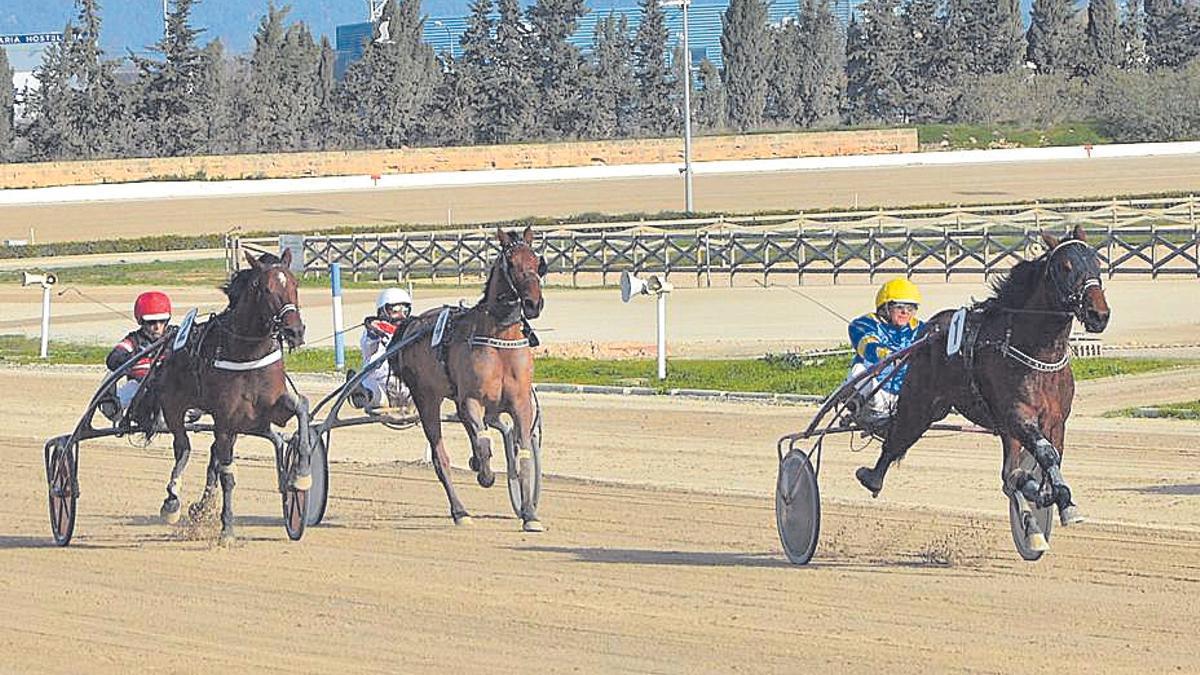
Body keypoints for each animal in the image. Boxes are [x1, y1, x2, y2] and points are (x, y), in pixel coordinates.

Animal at [136, 249, 309, 542]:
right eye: (265, 288)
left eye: (295, 284)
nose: (294, 331)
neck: (248, 352)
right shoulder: (226, 419)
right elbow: (228, 474)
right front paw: (227, 527)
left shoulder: (273, 408)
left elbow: (302, 407)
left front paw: (300, 475)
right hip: (174, 407)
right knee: (183, 447)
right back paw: (173, 502)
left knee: (218, 454)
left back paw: (201, 506)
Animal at [398, 225, 549, 530]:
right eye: (510, 263)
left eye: (536, 261)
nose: (532, 303)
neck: (500, 340)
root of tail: (413, 323)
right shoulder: (471, 399)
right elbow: (483, 443)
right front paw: (485, 474)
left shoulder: (520, 403)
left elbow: (524, 453)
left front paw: (529, 513)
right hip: (427, 398)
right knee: (440, 456)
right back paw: (460, 510)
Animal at [859, 223, 1108, 550]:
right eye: (1065, 267)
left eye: (1097, 263)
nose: (1098, 314)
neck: (1037, 353)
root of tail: (928, 330)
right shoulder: (1017, 416)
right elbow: (1045, 456)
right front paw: (1060, 502)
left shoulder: (1055, 420)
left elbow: (1045, 461)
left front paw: (1054, 500)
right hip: (920, 404)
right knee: (897, 439)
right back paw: (871, 477)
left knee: (1007, 474)